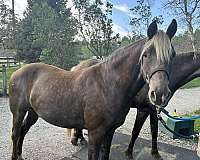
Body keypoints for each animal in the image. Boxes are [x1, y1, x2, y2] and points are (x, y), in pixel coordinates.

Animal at [9, 20, 177, 160]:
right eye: (146, 54)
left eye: (173, 55)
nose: (159, 94)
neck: (107, 84)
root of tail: (17, 72)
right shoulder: (95, 134)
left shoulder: (109, 132)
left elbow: (105, 155)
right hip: (18, 112)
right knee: (15, 134)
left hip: (33, 112)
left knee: (23, 131)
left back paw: (20, 154)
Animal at [69, 52, 200, 159]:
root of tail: (78, 66)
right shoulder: (143, 110)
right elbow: (135, 131)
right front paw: (129, 153)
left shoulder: (153, 110)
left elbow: (154, 131)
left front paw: (155, 153)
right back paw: (78, 139)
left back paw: (80, 139)